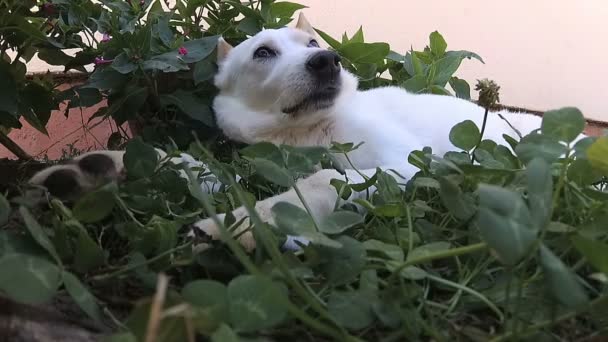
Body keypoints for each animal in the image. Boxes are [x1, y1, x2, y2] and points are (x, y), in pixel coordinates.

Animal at [32, 14, 556, 251]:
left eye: (312, 43)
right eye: (263, 52)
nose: (327, 60)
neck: (304, 134)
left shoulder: (407, 163)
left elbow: (321, 181)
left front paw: (245, 223)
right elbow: (197, 168)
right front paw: (103, 169)